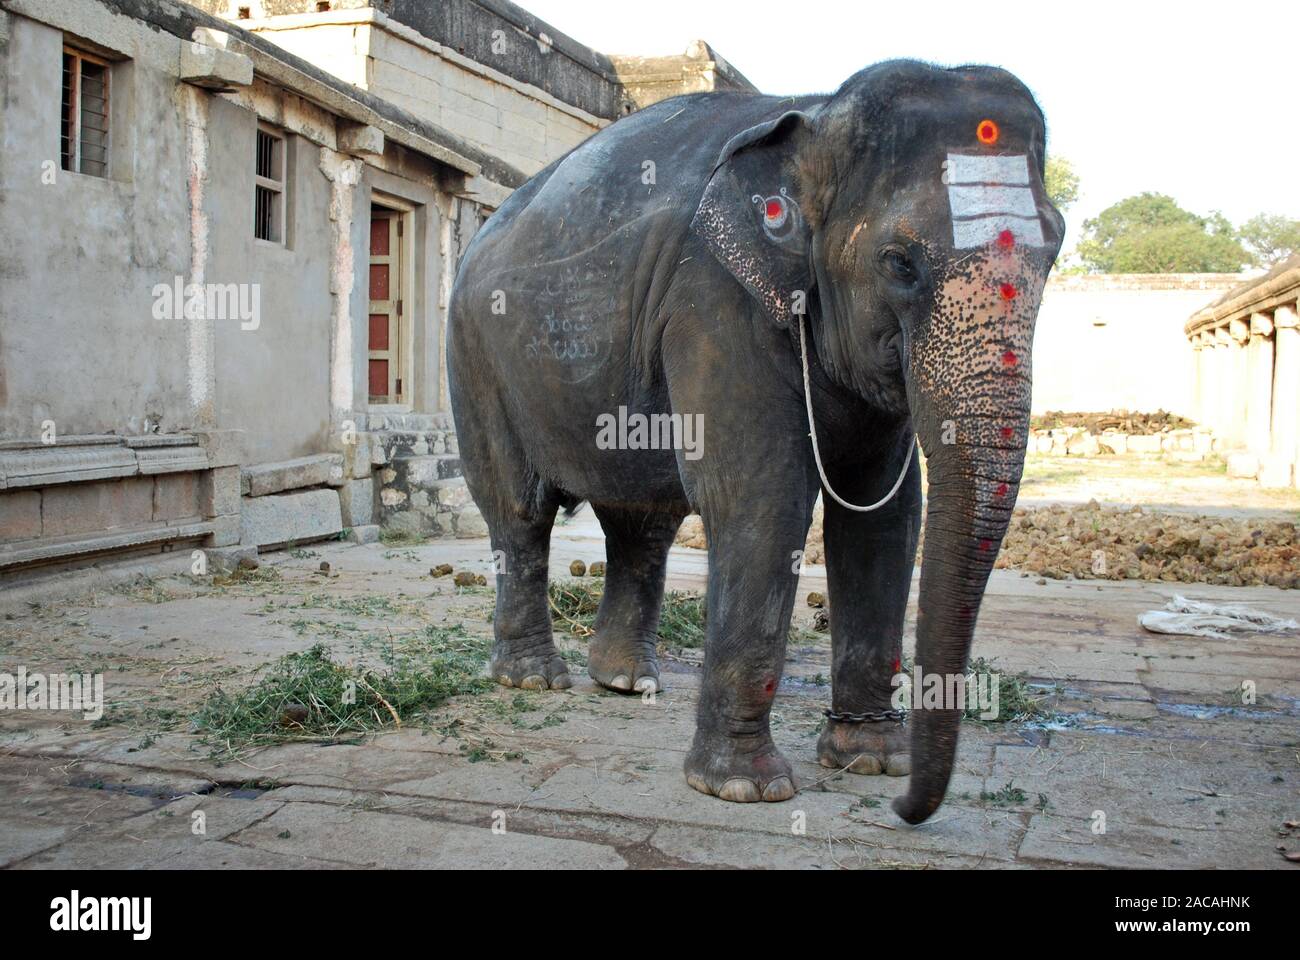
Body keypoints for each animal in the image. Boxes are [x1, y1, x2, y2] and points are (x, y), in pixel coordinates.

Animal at [447, 59, 1063, 824]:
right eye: (900, 262)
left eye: (1056, 250)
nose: (906, 809)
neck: (817, 116)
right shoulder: (711, 298)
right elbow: (763, 495)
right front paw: (743, 788)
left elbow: (885, 516)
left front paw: (870, 763)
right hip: (474, 356)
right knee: (519, 509)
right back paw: (534, 681)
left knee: (642, 524)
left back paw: (627, 683)